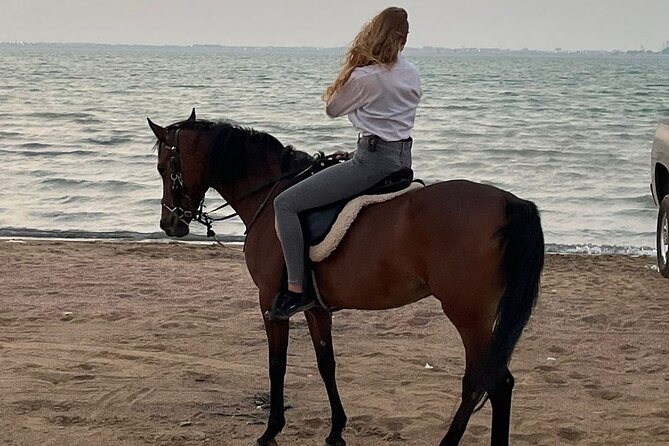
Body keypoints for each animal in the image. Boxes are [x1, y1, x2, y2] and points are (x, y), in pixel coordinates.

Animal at [148, 109, 544, 446]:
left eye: (164, 167)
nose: (170, 224)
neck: (271, 192)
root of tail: (510, 203)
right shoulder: (315, 307)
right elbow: (327, 364)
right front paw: (336, 429)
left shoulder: (268, 301)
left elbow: (277, 363)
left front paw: (271, 430)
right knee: (494, 381)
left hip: (467, 314)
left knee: (489, 381)